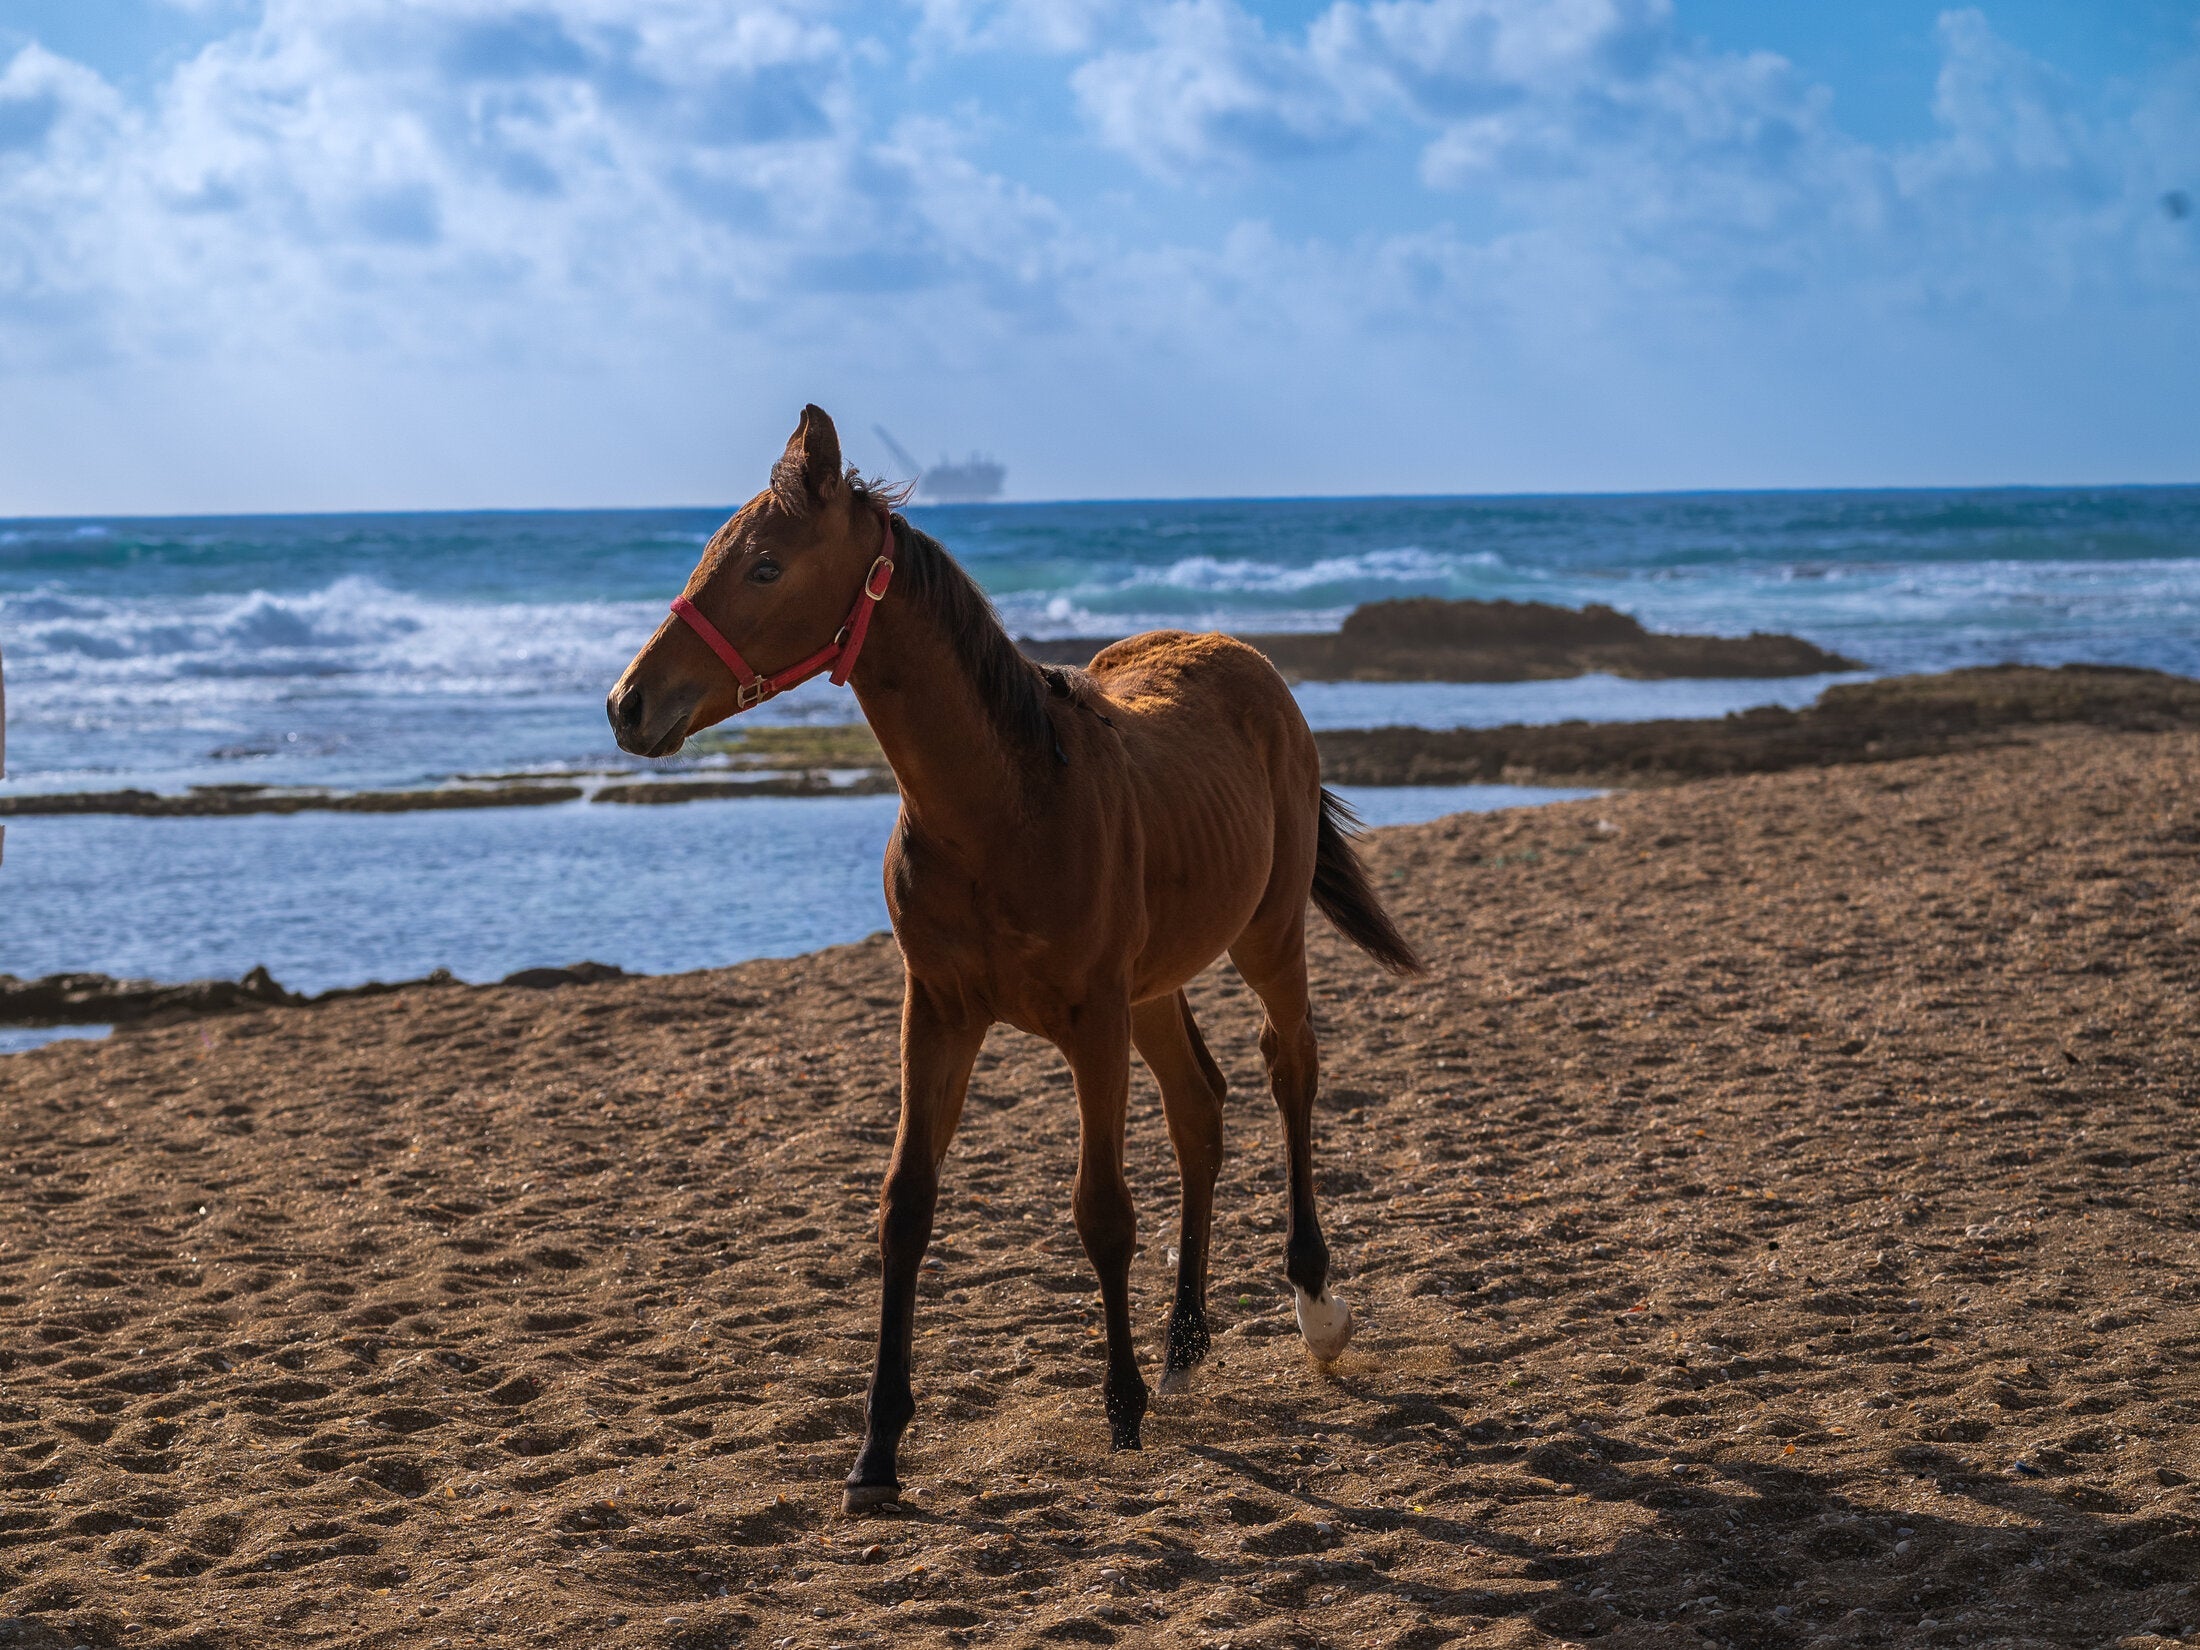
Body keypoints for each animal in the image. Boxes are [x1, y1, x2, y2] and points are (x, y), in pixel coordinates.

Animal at [609, 406, 1423, 1513]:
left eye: (768, 566)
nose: (627, 704)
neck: (1006, 805)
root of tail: (1241, 655)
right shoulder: (938, 1012)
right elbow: (906, 1206)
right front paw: (876, 1450)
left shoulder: (1090, 1022)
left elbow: (1101, 1212)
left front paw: (1121, 1408)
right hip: (1155, 986)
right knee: (1200, 1110)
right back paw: (1185, 1342)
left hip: (1264, 936)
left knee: (1288, 1067)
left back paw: (1312, 1307)